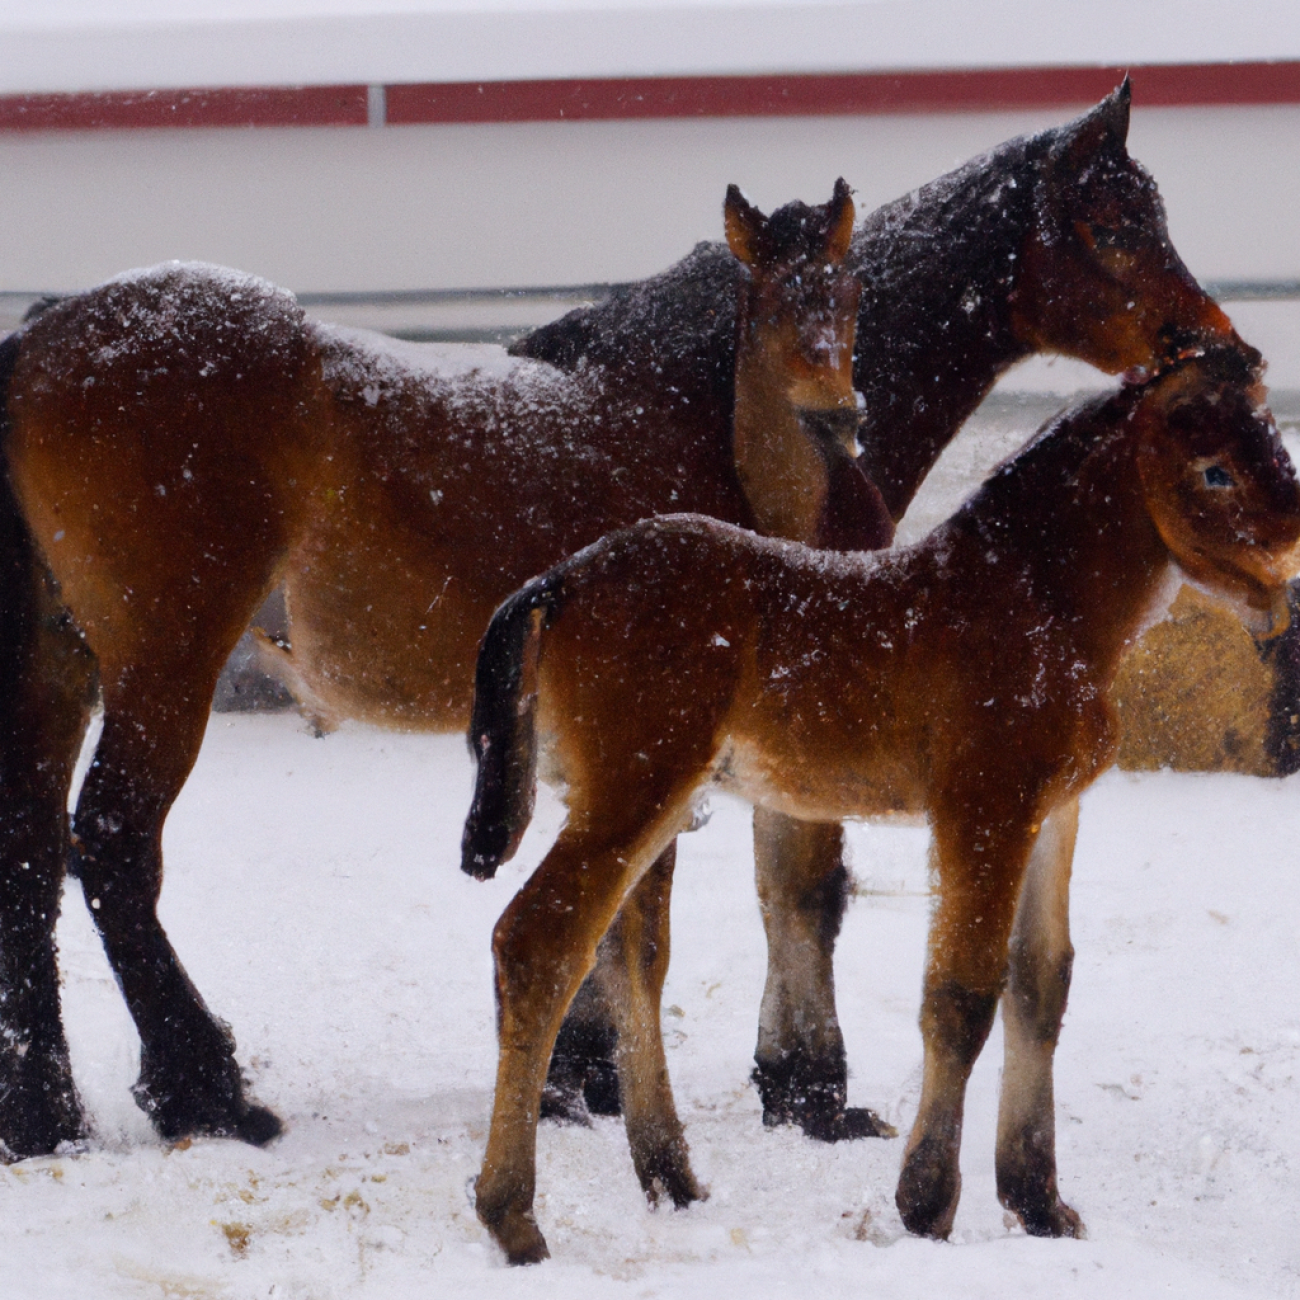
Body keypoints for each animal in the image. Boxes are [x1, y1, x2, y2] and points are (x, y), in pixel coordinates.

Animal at [0, 83, 1248, 1159]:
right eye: (1110, 223)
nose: (1221, 347)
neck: (733, 417)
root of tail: (42, 339)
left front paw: (596, 1074)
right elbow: (780, 887)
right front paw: (794, 1088)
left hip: (61, 666)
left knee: (32, 853)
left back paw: (47, 1114)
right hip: (167, 660)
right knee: (111, 843)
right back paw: (205, 1091)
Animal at [465, 351, 1300, 1263]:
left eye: (1276, 446)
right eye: (1213, 470)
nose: (1292, 566)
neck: (1035, 603)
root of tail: (560, 581)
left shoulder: (1053, 814)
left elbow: (1041, 986)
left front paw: (1040, 1204)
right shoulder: (984, 810)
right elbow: (962, 992)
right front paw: (927, 1205)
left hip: (644, 802)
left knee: (631, 959)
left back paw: (674, 1180)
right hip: (633, 792)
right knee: (538, 943)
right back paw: (514, 1219)